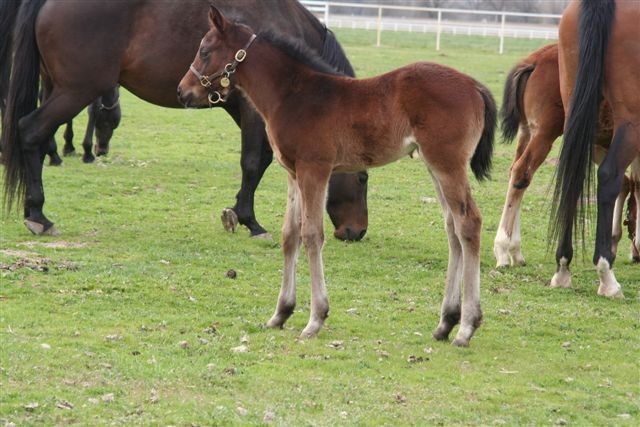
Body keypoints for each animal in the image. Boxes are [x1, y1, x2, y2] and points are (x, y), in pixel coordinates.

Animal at [1, 0, 367, 241]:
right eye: (363, 178)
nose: (357, 231)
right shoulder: (252, 110)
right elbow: (253, 162)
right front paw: (250, 221)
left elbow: (261, 160)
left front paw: (237, 213)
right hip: (76, 91)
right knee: (30, 131)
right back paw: (39, 215)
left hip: (57, 86)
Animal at [178, 7, 496, 346]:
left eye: (204, 51)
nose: (182, 91)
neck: (293, 95)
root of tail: (475, 86)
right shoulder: (293, 173)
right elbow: (290, 234)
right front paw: (281, 313)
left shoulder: (315, 169)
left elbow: (311, 235)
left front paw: (315, 319)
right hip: (435, 165)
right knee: (452, 228)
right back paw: (446, 323)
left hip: (447, 163)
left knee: (469, 223)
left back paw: (466, 326)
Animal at [494, 43, 640, 270]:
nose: (636, 256)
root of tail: (534, 60)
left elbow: (625, 183)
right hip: (545, 134)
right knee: (521, 172)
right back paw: (502, 249)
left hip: (527, 131)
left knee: (516, 174)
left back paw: (516, 251)